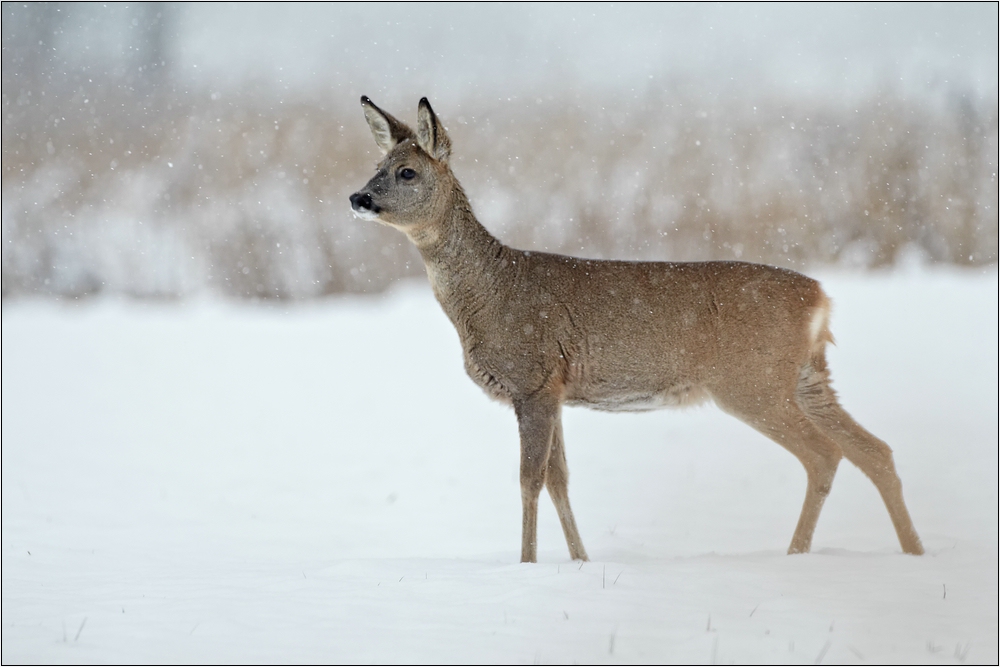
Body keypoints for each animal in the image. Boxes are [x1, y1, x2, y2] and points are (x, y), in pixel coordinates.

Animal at [350, 96, 920, 560]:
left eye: (406, 172)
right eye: (377, 165)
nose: (358, 198)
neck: (492, 291)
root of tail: (820, 299)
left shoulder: (533, 378)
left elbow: (529, 480)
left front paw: (527, 565)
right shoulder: (556, 389)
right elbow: (559, 480)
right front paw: (580, 561)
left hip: (752, 381)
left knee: (825, 454)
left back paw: (797, 555)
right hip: (807, 376)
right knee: (876, 450)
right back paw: (912, 550)